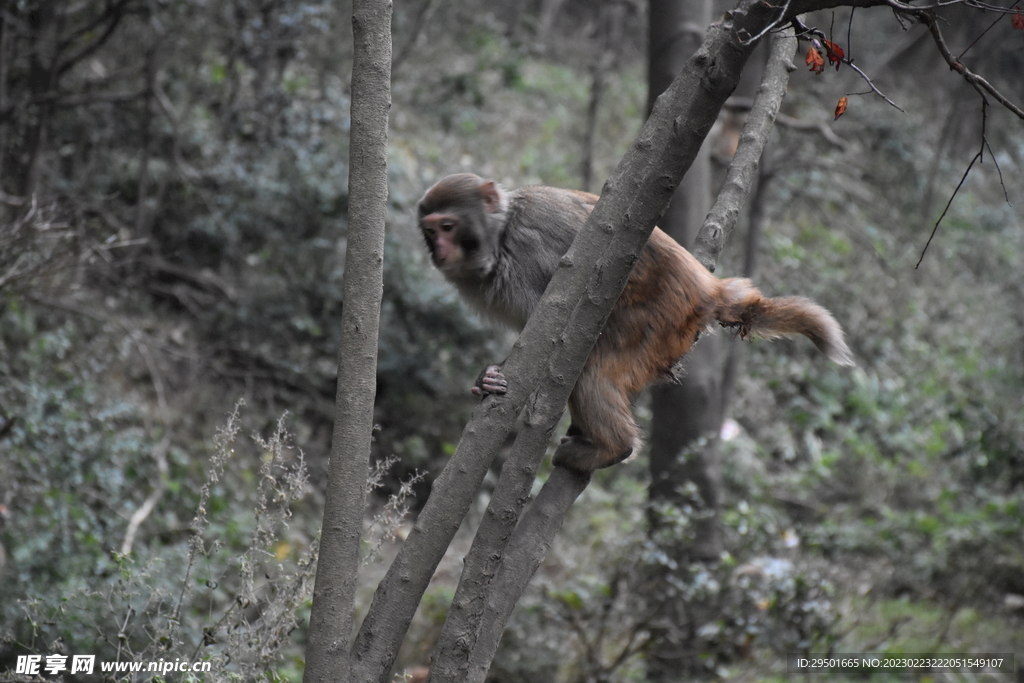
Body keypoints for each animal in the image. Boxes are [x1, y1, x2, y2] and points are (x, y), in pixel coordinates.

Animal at [415, 172, 856, 475]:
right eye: (430, 231)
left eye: (449, 226)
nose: (439, 249)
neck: (501, 236)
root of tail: (709, 289)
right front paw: (483, 379)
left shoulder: (530, 253)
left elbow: (551, 326)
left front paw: (497, 376)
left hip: (658, 320)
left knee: (590, 369)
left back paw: (613, 448)